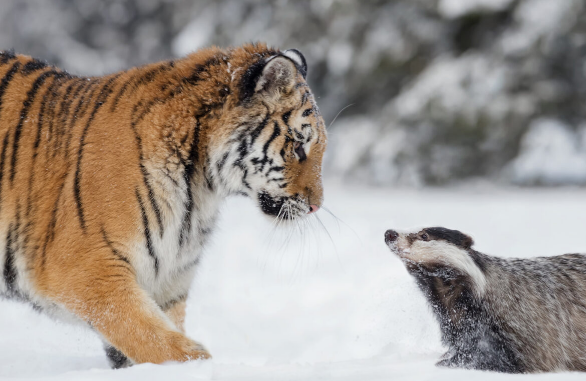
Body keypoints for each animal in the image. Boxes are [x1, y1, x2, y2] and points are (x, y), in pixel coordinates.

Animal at [0, 43, 326, 366]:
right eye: (299, 146)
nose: (317, 206)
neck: (201, 191)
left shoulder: (170, 281)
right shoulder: (86, 269)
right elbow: (154, 339)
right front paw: (202, 363)